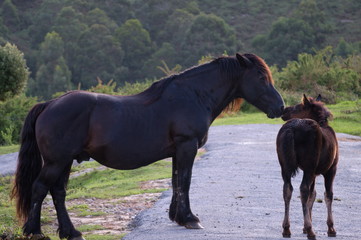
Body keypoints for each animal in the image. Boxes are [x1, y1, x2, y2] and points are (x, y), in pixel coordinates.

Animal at [11, 53, 284, 239]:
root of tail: (49, 104)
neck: (193, 96)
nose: (280, 108)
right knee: (39, 189)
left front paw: (177, 217)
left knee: (57, 192)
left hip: (65, 161)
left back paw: (71, 232)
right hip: (57, 161)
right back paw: (35, 231)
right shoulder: (187, 147)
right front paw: (190, 219)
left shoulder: (178, 151)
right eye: (261, 77)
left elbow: (176, 181)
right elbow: (185, 181)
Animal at [276, 94, 338, 239]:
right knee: (303, 189)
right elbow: (328, 195)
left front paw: (304, 226)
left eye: (298, 106)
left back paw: (286, 228)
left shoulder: (314, 172)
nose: (284, 110)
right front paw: (330, 228)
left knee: (287, 189)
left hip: (285, 167)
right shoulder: (331, 169)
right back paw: (310, 231)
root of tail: (292, 129)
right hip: (310, 166)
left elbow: (313, 194)